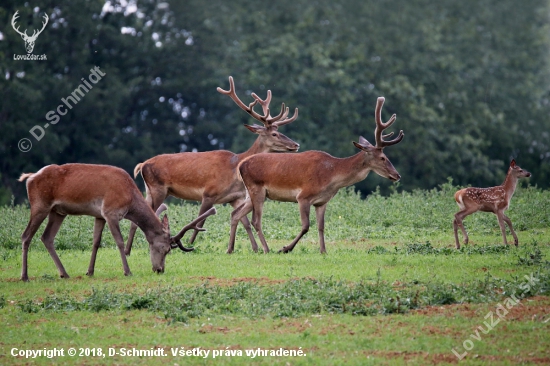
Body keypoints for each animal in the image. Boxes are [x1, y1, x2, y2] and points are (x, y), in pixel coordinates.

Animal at [17, 164, 216, 282]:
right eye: (166, 249)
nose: (160, 269)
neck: (129, 199)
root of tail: (30, 177)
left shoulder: (99, 215)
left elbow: (96, 242)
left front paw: (90, 271)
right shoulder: (111, 212)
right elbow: (119, 242)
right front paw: (127, 271)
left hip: (58, 211)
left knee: (47, 237)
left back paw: (64, 273)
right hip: (40, 204)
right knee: (26, 236)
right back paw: (25, 276)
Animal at [124, 75, 300, 254]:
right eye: (274, 134)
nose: (296, 145)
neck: (235, 171)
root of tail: (142, 165)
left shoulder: (236, 197)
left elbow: (243, 221)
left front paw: (254, 248)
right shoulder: (209, 193)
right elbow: (199, 221)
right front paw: (189, 245)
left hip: (150, 191)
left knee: (136, 219)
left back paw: (128, 250)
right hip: (158, 189)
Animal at [229, 96, 406, 254]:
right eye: (383, 157)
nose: (397, 175)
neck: (332, 176)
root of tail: (240, 165)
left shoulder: (322, 202)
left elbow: (321, 226)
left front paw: (323, 251)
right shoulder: (303, 196)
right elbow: (306, 226)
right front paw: (285, 248)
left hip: (253, 194)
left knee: (235, 214)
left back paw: (230, 249)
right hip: (256, 189)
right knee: (255, 220)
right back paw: (266, 249)